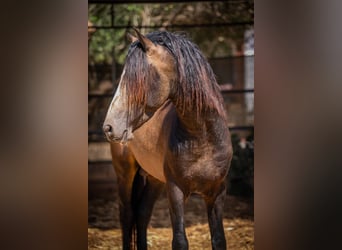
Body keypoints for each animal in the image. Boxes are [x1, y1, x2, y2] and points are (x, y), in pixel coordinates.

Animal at [103, 28, 232, 249]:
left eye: (137, 80)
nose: (109, 127)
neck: (203, 137)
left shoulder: (217, 193)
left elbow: (218, 239)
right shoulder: (175, 191)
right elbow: (179, 240)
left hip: (154, 179)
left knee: (142, 214)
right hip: (125, 174)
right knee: (127, 216)